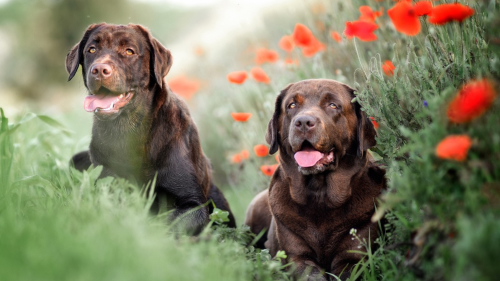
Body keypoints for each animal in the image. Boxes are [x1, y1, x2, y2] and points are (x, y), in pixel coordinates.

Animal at [244, 78, 384, 278]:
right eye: (292, 105)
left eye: (333, 105)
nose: (303, 122)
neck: (320, 195)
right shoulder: (296, 257)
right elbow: (310, 273)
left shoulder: (353, 256)